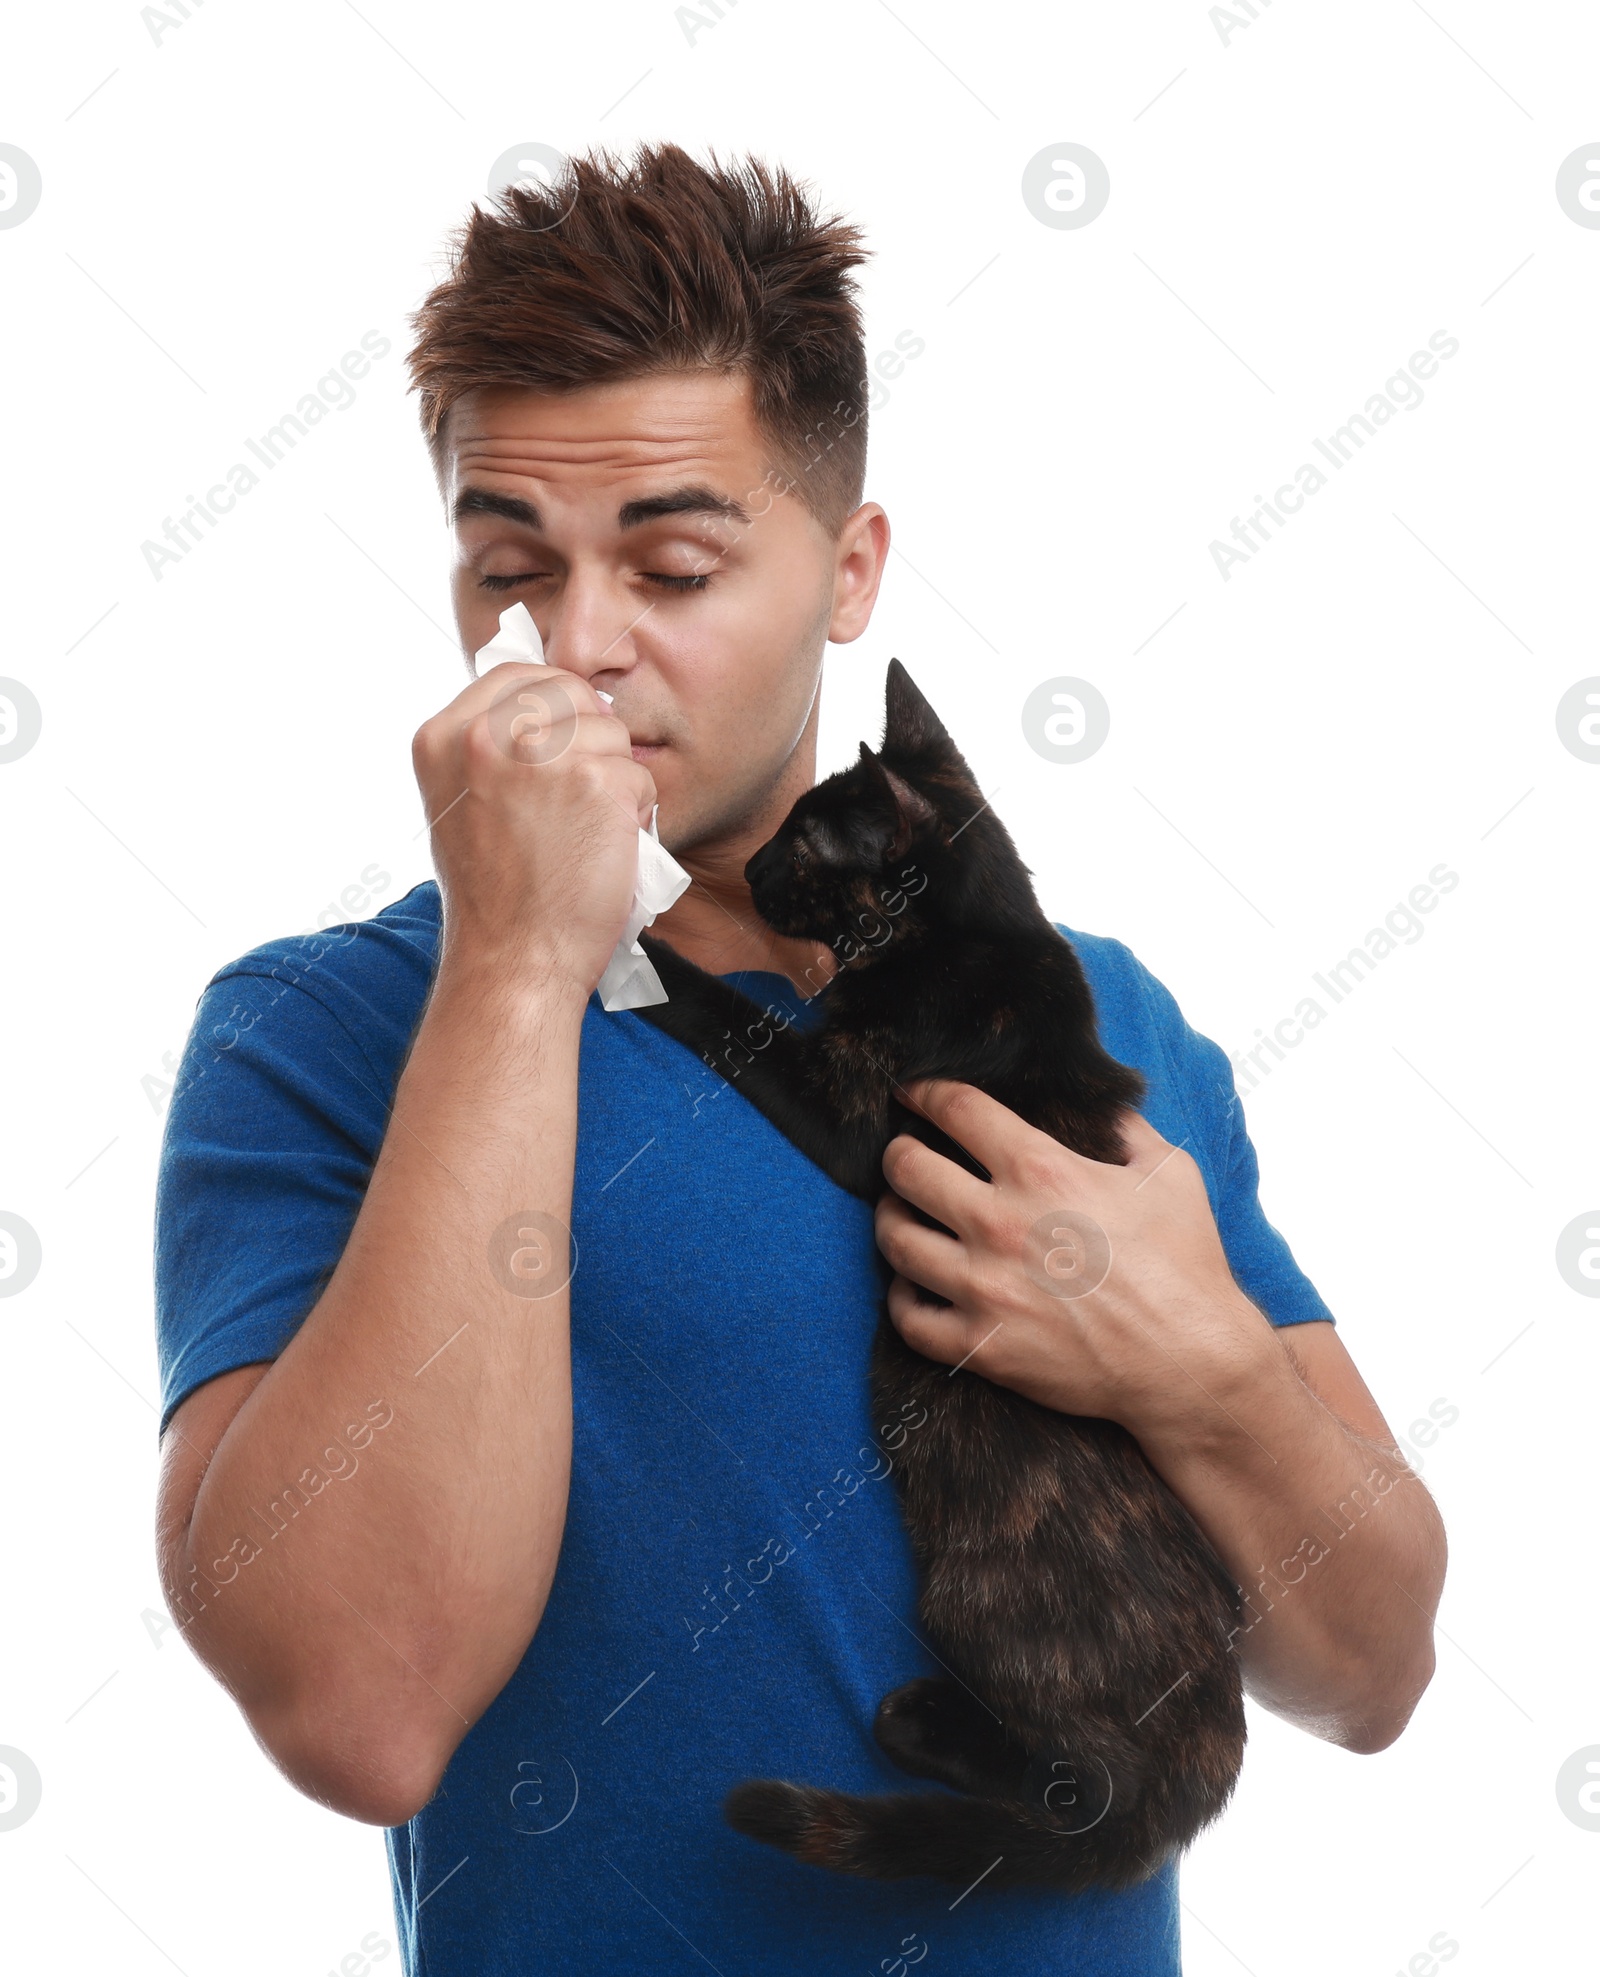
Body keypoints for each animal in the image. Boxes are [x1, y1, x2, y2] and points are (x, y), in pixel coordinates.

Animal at [636, 668, 1249, 1897]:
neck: (982, 935)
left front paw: (626, 940)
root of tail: (1197, 1781)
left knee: (1081, 1792)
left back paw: (919, 1722)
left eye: (803, 842)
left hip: (984, 1604)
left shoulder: (843, 1098)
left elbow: (723, 1009)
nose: (747, 868)